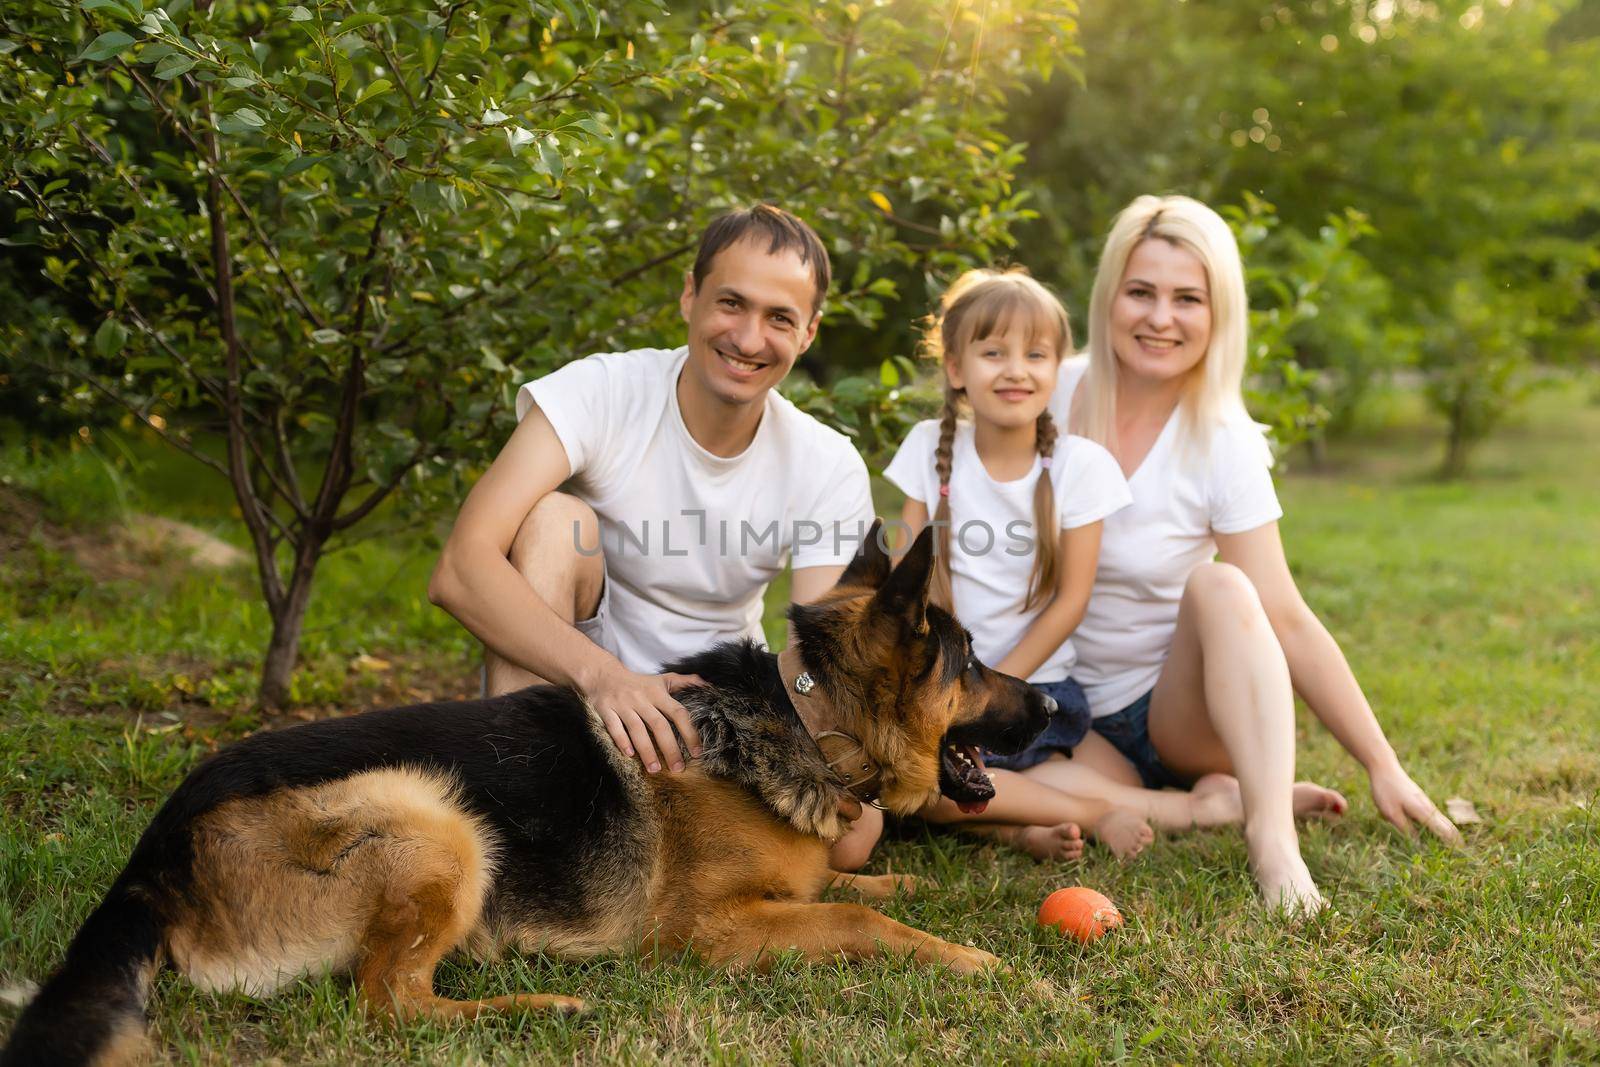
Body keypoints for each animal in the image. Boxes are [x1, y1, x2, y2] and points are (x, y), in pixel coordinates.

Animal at [3, 521, 1049, 1062]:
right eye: (970, 661)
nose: (1050, 702)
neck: (804, 714)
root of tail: (156, 851)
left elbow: (852, 886)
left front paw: (919, 885)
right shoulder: (709, 931)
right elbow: (859, 918)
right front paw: (981, 959)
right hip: (439, 820)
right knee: (388, 1002)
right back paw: (539, 1008)